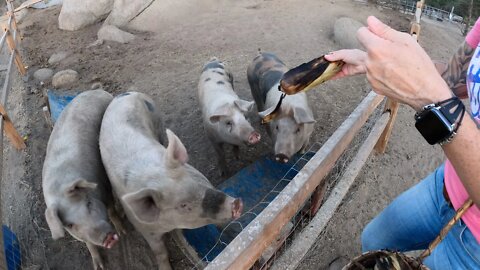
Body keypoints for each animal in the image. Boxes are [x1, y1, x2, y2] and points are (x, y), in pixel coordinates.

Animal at [42, 89, 124, 268]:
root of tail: (96, 90)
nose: (107, 239)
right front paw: (99, 267)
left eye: (89, 203)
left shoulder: (103, 185)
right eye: (70, 224)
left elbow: (111, 210)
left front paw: (123, 232)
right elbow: (89, 244)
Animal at [100, 92, 244, 268]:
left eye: (199, 179)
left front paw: (236, 233)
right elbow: (160, 252)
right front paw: (164, 267)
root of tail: (125, 93)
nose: (236, 204)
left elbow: (221, 224)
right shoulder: (145, 230)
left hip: (159, 124)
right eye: (183, 205)